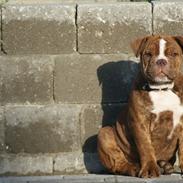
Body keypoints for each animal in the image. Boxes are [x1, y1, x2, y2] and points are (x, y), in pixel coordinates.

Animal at [98, 35, 183, 178]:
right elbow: (146, 147)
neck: (162, 89)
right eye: (148, 54)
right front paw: (149, 169)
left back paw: (164, 166)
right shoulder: (140, 122)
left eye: (174, 54)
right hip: (105, 133)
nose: (161, 61)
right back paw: (134, 168)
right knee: (118, 164)